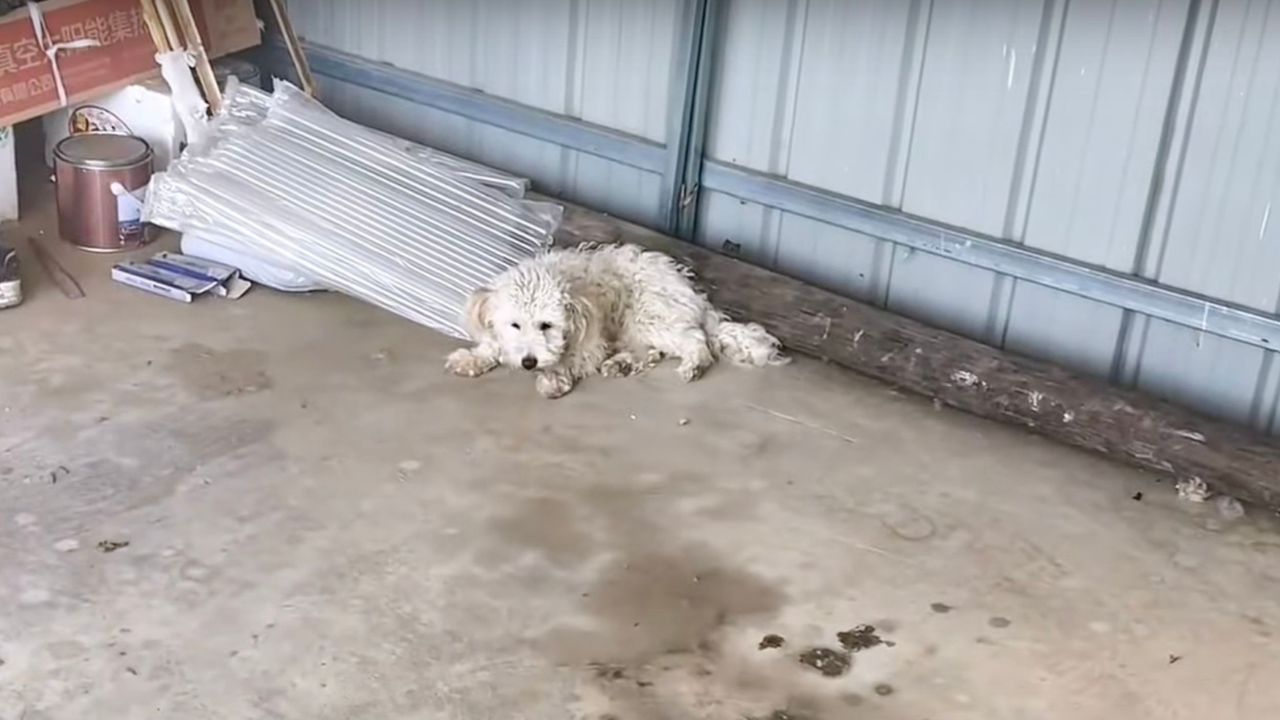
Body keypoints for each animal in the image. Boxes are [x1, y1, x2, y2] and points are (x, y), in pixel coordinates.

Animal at [450, 242, 788, 397]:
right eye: (514, 325)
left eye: (547, 325)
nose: (529, 363)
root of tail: (694, 295)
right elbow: (493, 344)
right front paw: (473, 358)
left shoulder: (591, 342)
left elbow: (569, 359)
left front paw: (553, 377)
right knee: (652, 351)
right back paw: (622, 363)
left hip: (646, 315)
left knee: (694, 339)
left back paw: (693, 364)